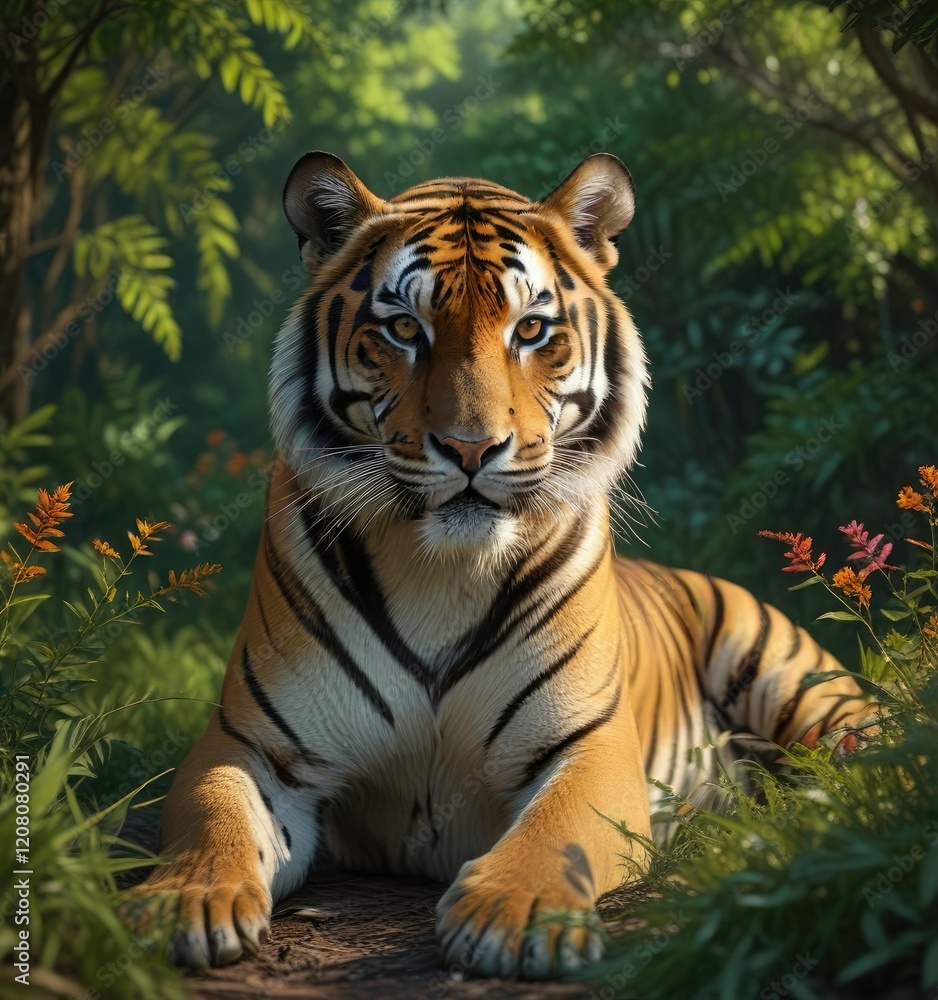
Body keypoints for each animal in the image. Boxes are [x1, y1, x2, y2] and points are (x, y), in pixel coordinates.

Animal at [142, 151, 872, 980]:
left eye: (531, 329)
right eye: (404, 328)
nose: (470, 448)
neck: (440, 571)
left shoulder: (590, 743)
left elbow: (556, 828)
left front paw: (514, 915)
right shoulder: (252, 745)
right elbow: (213, 815)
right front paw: (184, 902)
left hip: (798, 686)